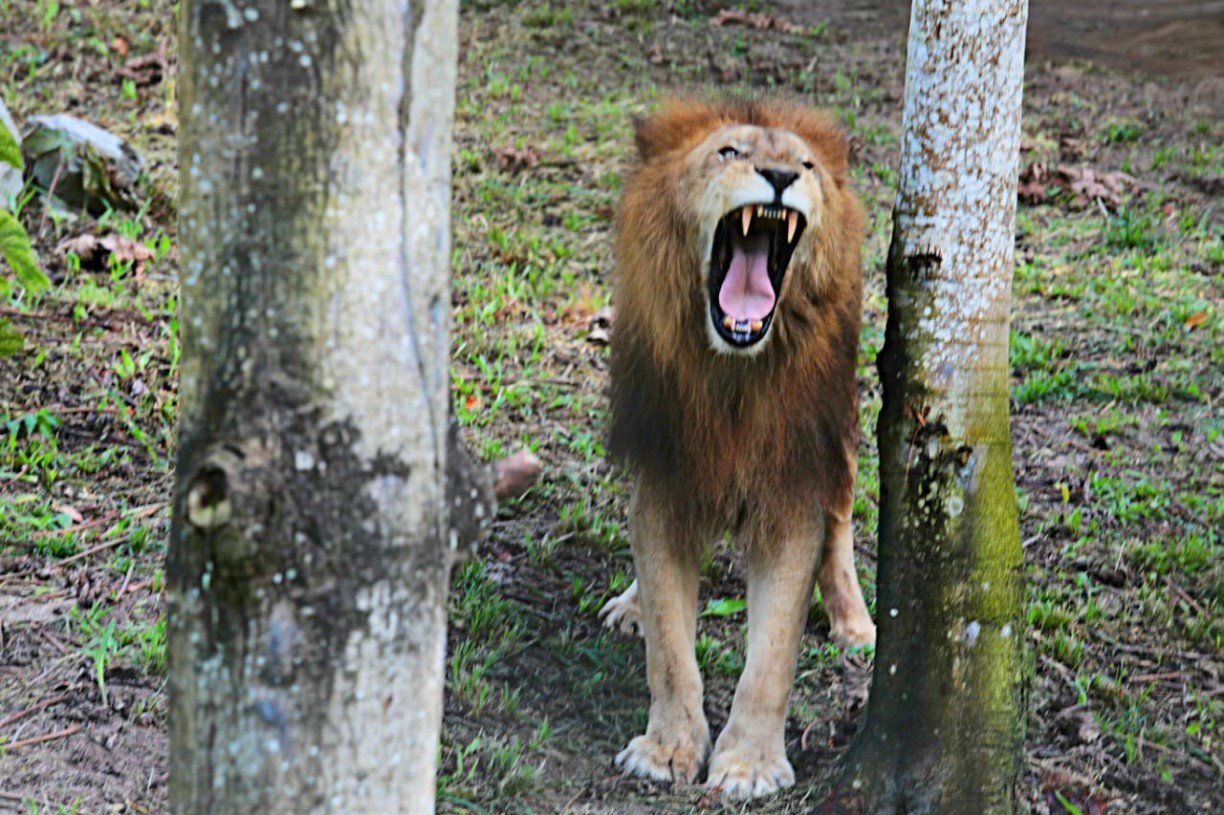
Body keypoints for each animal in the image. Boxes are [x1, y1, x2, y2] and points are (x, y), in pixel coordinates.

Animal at [597, 96, 876, 797]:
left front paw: (749, 763)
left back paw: (856, 625)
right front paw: (667, 749)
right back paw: (631, 604)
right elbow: (670, 646)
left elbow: (770, 658)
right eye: (729, 152)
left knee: (842, 518)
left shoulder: (793, 493)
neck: (733, 373)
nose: (779, 176)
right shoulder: (664, 481)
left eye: (805, 165)